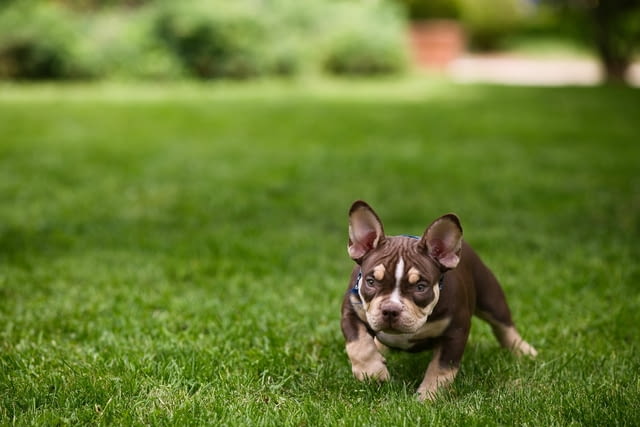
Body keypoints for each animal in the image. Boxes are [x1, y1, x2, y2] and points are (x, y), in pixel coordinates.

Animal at [340, 201, 536, 402]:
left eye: (420, 287)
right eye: (371, 282)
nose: (390, 309)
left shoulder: (455, 331)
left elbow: (441, 368)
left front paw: (428, 397)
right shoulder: (351, 312)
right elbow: (359, 345)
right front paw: (372, 373)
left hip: (490, 296)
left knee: (504, 325)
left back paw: (524, 351)